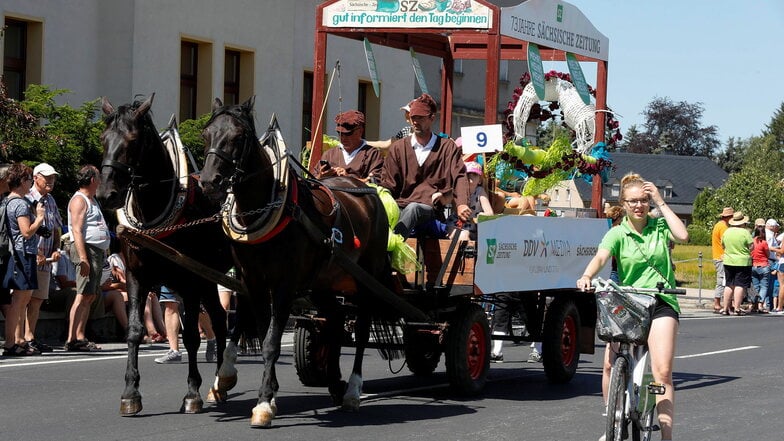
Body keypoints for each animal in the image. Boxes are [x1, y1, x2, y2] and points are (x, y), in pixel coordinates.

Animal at [97, 94, 236, 414]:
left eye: (133, 140)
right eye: (103, 138)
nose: (105, 194)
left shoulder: (189, 282)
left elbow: (192, 336)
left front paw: (192, 393)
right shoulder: (137, 277)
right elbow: (134, 330)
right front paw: (130, 393)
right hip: (209, 279)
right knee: (219, 320)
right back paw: (219, 384)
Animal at [201, 96, 398, 426]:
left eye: (239, 137)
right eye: (206, 134)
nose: (208, 182)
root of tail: (369, 191)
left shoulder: (284, 285)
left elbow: (271, 341)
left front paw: (263, 404)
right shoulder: (252, 281)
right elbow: (257, 331)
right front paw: (257, 390)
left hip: (365, 280)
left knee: (360, 330)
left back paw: (352, 391)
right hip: (324, 283)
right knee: (334, 324)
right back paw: (334, 382)